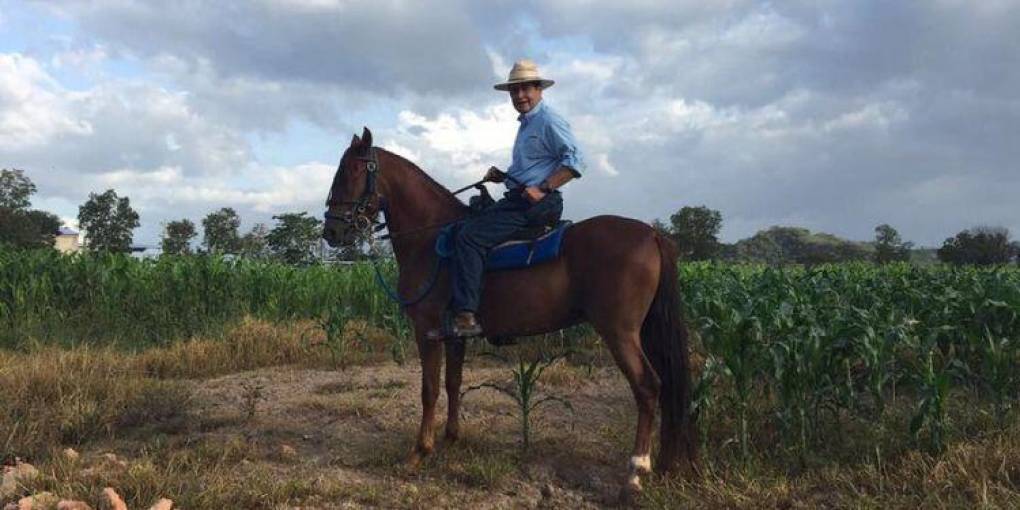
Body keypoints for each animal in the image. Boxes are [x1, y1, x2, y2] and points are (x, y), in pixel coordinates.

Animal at [322, 126, 697, 493]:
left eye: (351, 171)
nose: (332, 231)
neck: (430, 240)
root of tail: (651, 234)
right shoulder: (454, 335)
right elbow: (453, 383)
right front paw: (451, 439)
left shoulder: (426, 330)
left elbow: (429, 390)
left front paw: (419, 452)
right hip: (644, 330)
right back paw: (664, 463)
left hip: (619, 332)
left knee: (647, 386)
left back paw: (635, 472)